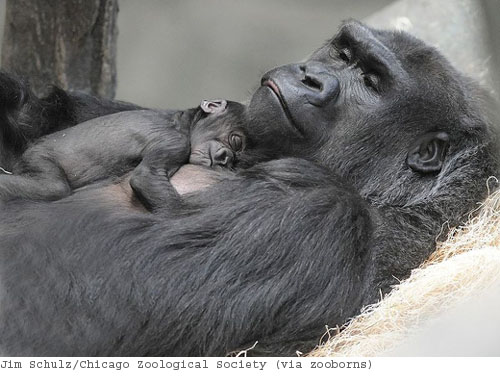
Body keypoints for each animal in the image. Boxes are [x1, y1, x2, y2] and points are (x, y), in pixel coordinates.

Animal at [0, 98, 249, 204]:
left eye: (237, 158)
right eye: (236, 141)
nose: (226, 157)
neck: (186, 124)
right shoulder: (174, 142)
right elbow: (146, 179)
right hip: (38, 157)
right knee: (53, 187)